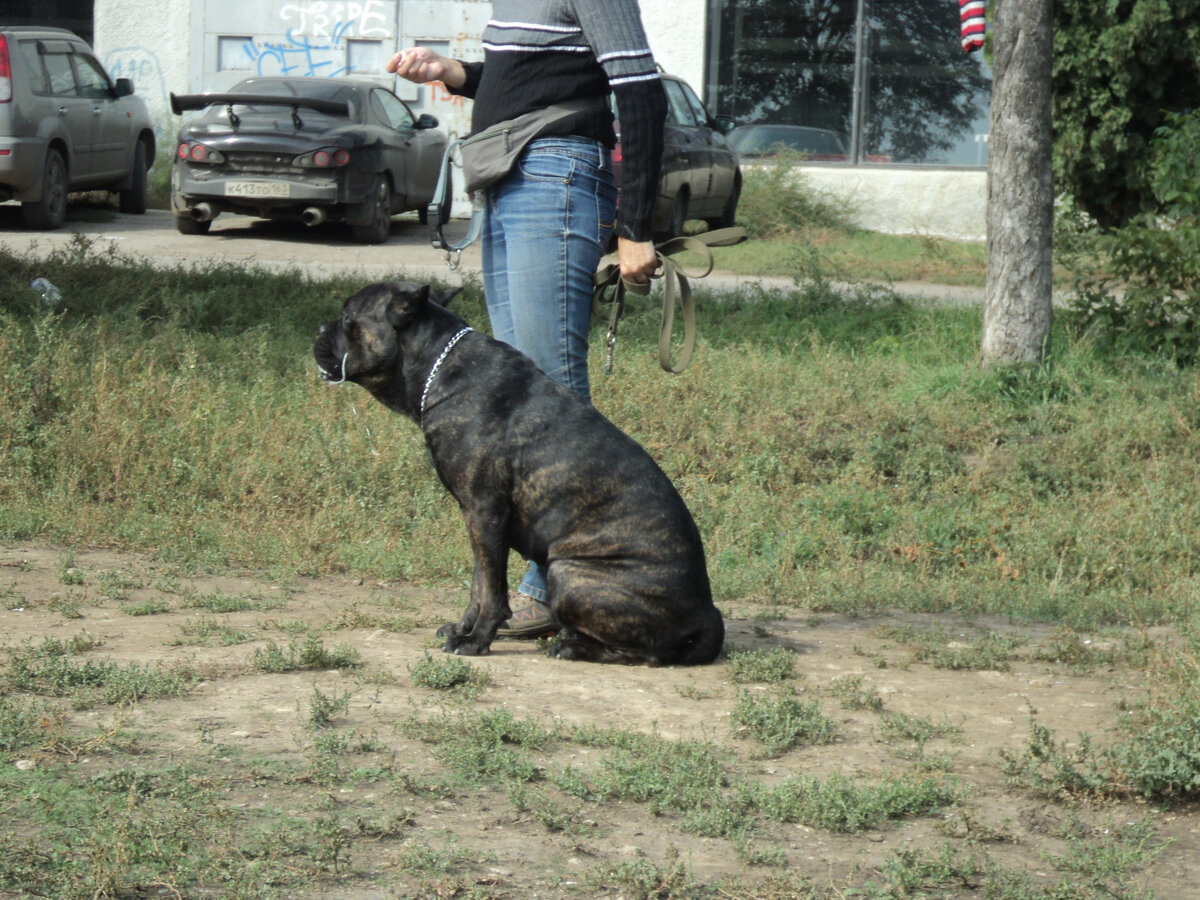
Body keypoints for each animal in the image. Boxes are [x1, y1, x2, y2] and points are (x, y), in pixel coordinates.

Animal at [314, 283, 720, 672]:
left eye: (348, 318)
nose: (319, 330)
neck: (437, 365)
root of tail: (707, 615)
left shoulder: (484, 512)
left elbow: (492, 593)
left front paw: (476, 641)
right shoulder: (478, 521)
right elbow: (479, 583)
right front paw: (463, 628)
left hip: (568, 575)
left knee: (647, 654)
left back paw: (571, 647)